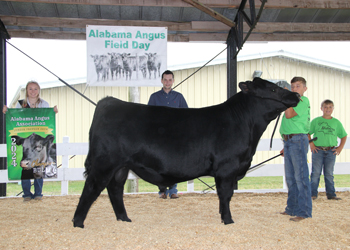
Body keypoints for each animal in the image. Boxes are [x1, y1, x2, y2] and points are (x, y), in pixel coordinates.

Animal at [72, 78, 300, 229]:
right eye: (273, 88)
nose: (296, 95)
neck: (245, 124)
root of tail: (110, 101)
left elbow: (224, 196)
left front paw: (222, 216)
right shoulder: (227, 168)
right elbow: (226, 194)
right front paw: (228, 220)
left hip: (121, 166)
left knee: (115, 189)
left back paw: (123, 219)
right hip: (105, 163)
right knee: (92, 188)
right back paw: (78, 223)